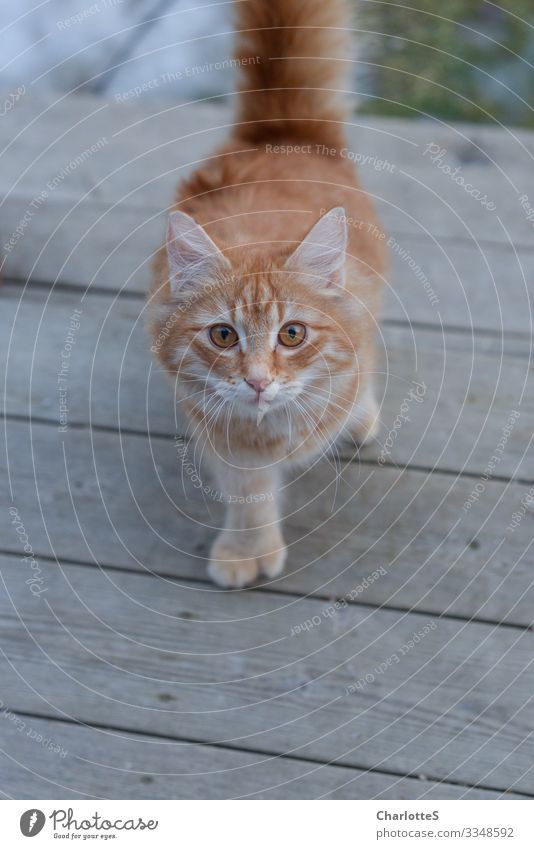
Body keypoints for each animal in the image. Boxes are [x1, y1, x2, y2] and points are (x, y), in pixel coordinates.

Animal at [151, 0, 390, 584]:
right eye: (222, 336)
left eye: (292, 334)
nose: (257, 381)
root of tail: (280, 131)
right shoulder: (223, 433)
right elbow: (250, 494)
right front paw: (247, 550)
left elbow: (350, 384)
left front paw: (350, 416)